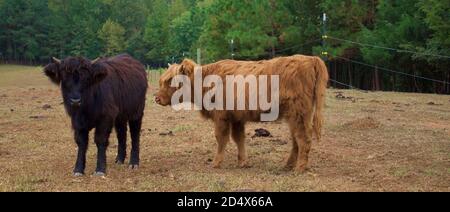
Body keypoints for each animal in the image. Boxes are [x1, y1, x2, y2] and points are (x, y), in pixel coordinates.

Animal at [156, 54, 328, 172]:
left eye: (170, 81)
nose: (156, 98)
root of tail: (310, 59)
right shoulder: (237, 118)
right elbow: (239, 138)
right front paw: (242, 162)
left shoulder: (221, 117)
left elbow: (221, 138)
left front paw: (216, 163)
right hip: (295, 116)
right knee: (296, 140)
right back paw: (288, 165)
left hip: (298, 114)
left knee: (303, 139)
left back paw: (299, 168)